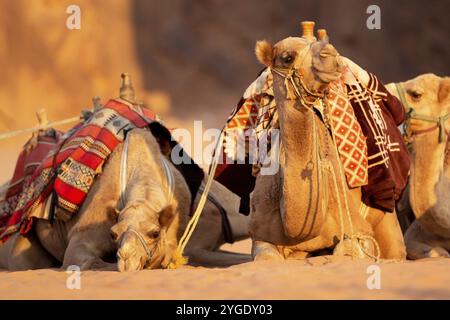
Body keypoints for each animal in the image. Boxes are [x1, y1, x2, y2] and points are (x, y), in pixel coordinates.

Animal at [250, 30, 408, 260]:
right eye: (287, 57)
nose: (330, 54)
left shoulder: (357, 231)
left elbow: (347, 250)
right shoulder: (260, 235)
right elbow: (266, 257)